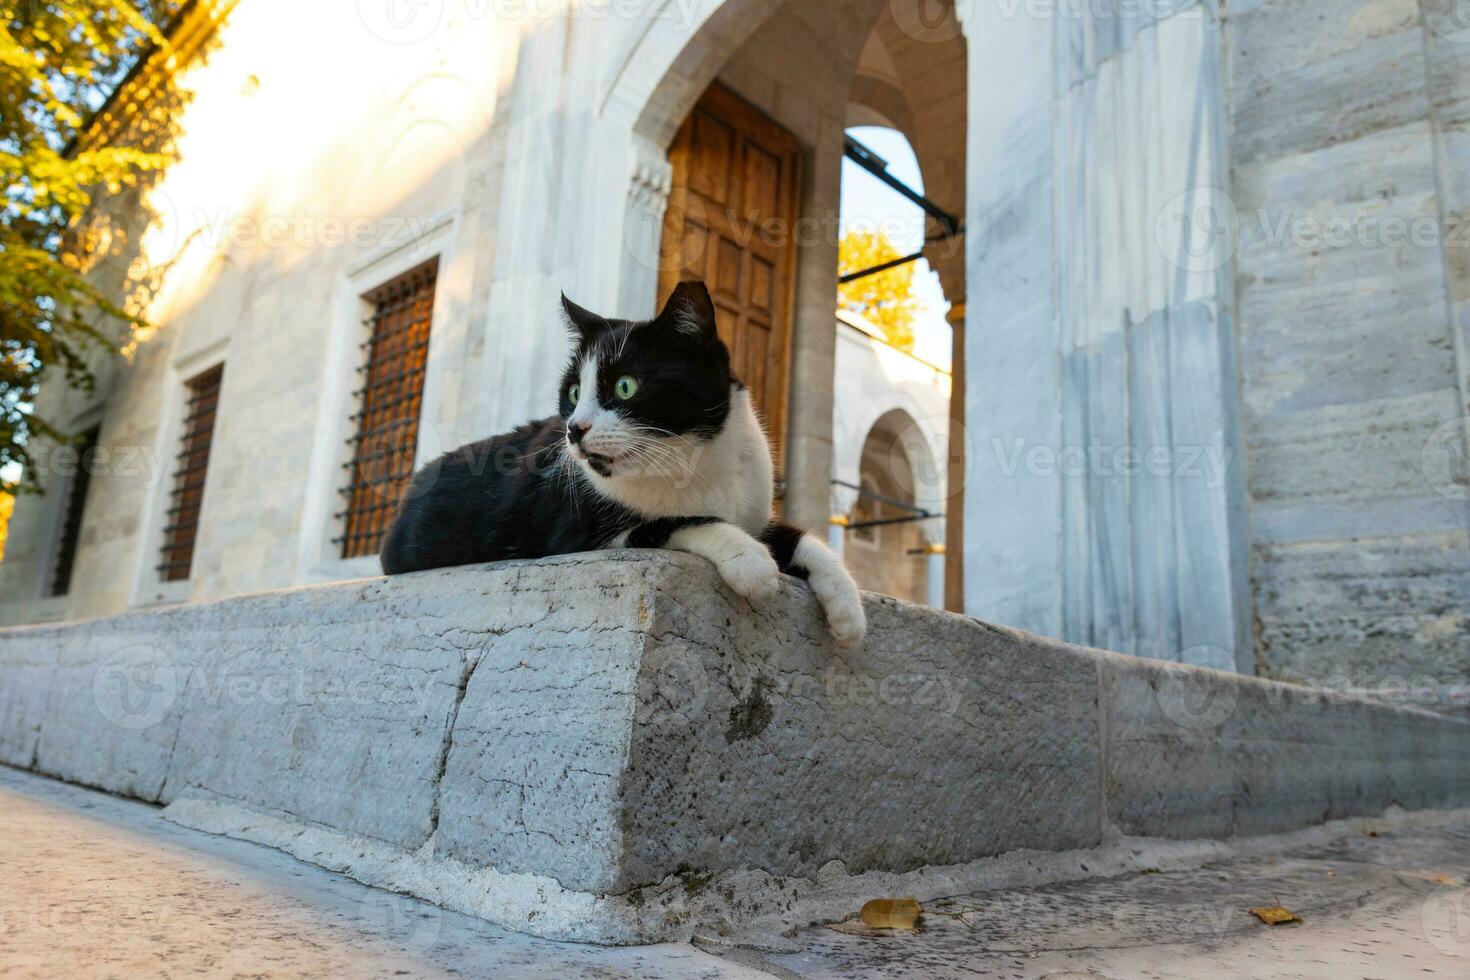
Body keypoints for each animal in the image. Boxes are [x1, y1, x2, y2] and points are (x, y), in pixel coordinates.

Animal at [379, 279, 864, 646]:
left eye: (626, 387)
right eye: (574, 392)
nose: (574, 428)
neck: (693, 459)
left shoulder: (753, 509)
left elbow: (798, 537)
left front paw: (848, 610)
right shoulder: (577, 534)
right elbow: (676, 521)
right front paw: (751, 562)